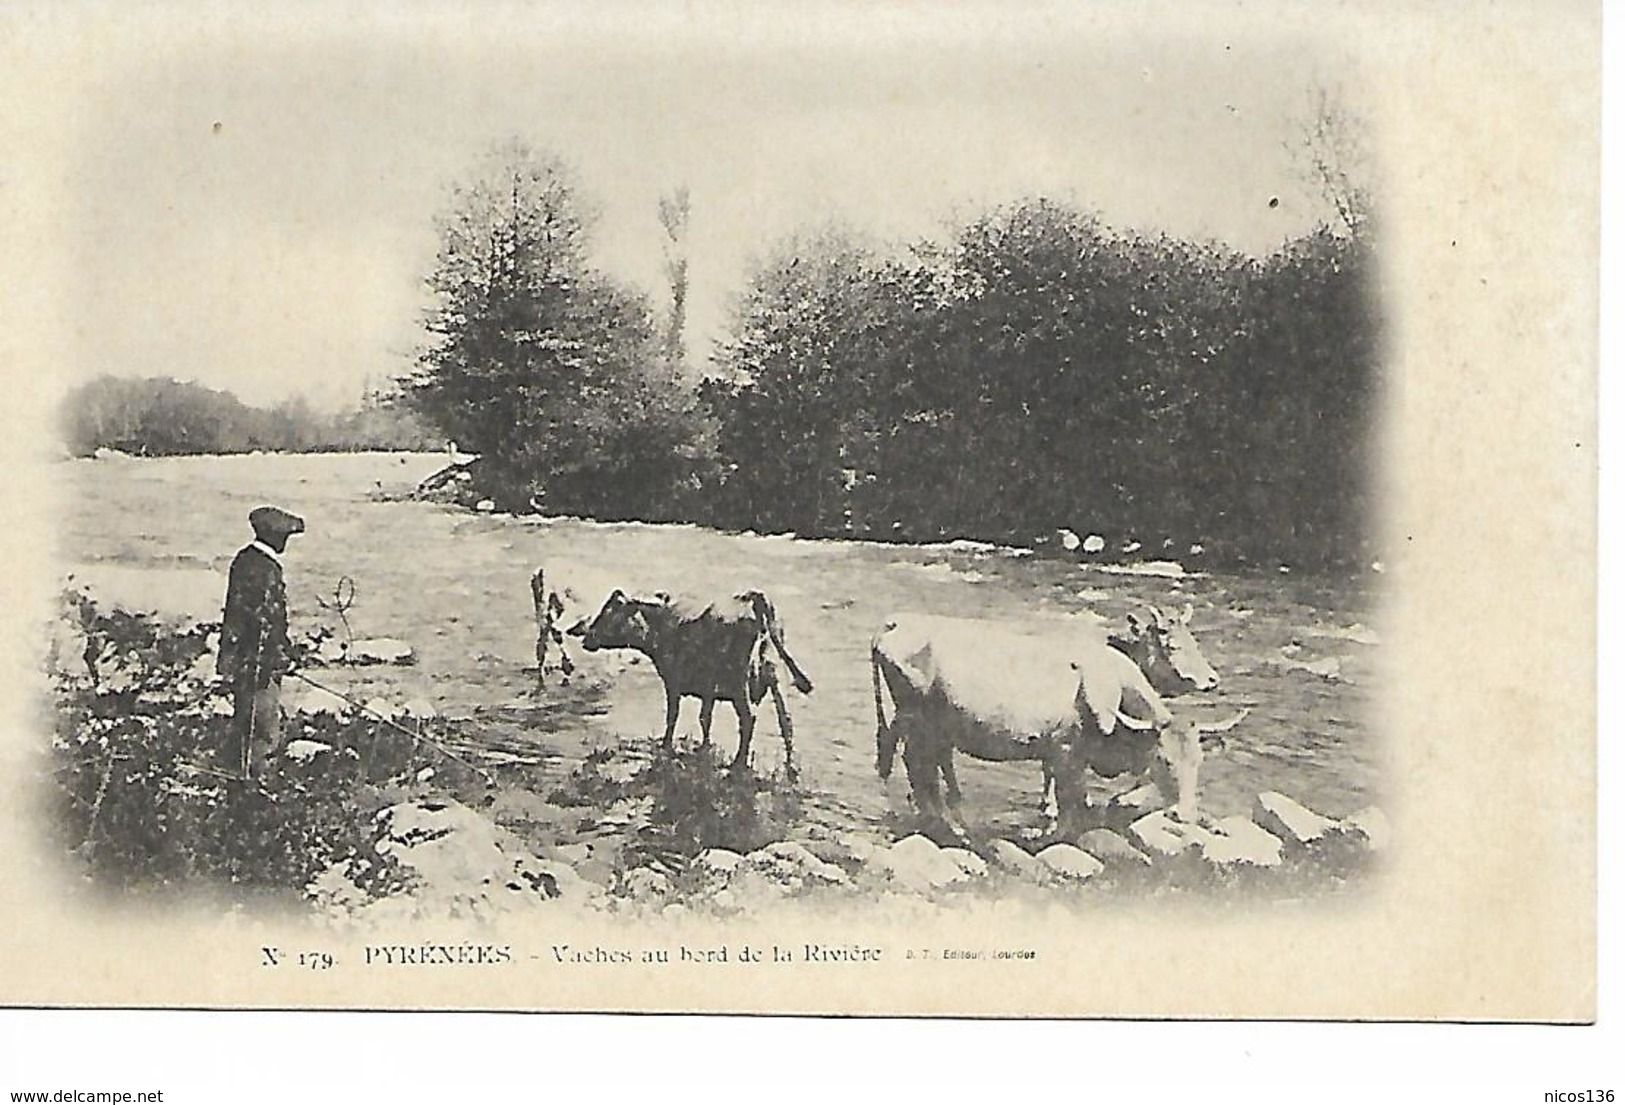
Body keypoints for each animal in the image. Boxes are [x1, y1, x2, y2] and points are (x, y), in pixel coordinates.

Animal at [568, 588, 812, 776]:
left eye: (608, 613)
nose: (587, 639)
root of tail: (752, 600)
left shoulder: (672, 682)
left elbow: (672, 716)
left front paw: (666, 746)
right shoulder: (708, 690)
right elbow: (705, 719)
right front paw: (704, 748)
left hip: (739, 684)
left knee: (749, 719)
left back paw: (738, 764)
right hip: (775, 678)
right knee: (786, 721)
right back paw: (790, 767)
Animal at [877, 614, 1241, 838]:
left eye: (1199, 762)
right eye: (1163, 761)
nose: (1185, 814)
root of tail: (894, 624)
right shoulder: (1066, 753)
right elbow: (1070, 803)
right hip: (918, 724)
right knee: (918, 767)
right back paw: (944, 824)